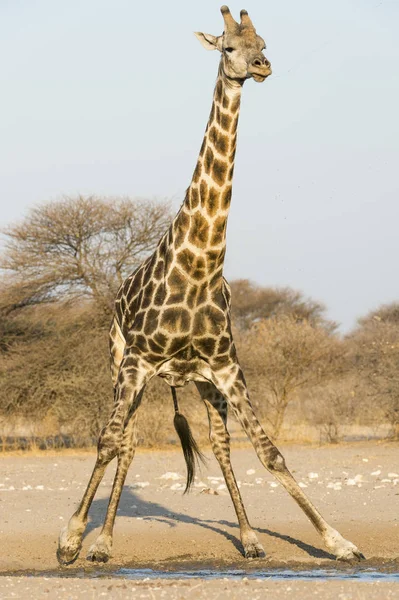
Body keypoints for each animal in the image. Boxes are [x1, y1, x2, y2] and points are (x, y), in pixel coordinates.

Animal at [57, 7, 366, 564]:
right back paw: (102, 543)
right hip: (121, 364)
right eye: (228, 47)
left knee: (218, 441)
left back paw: (248, 538)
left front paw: (339, 542)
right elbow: (109, 441)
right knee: (126, 440)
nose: (261, 67)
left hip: (199, 381)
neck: (200, 266)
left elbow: (270, 451)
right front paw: (70, 540)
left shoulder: (227, 366)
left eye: (264, 43)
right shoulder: (136, 362)